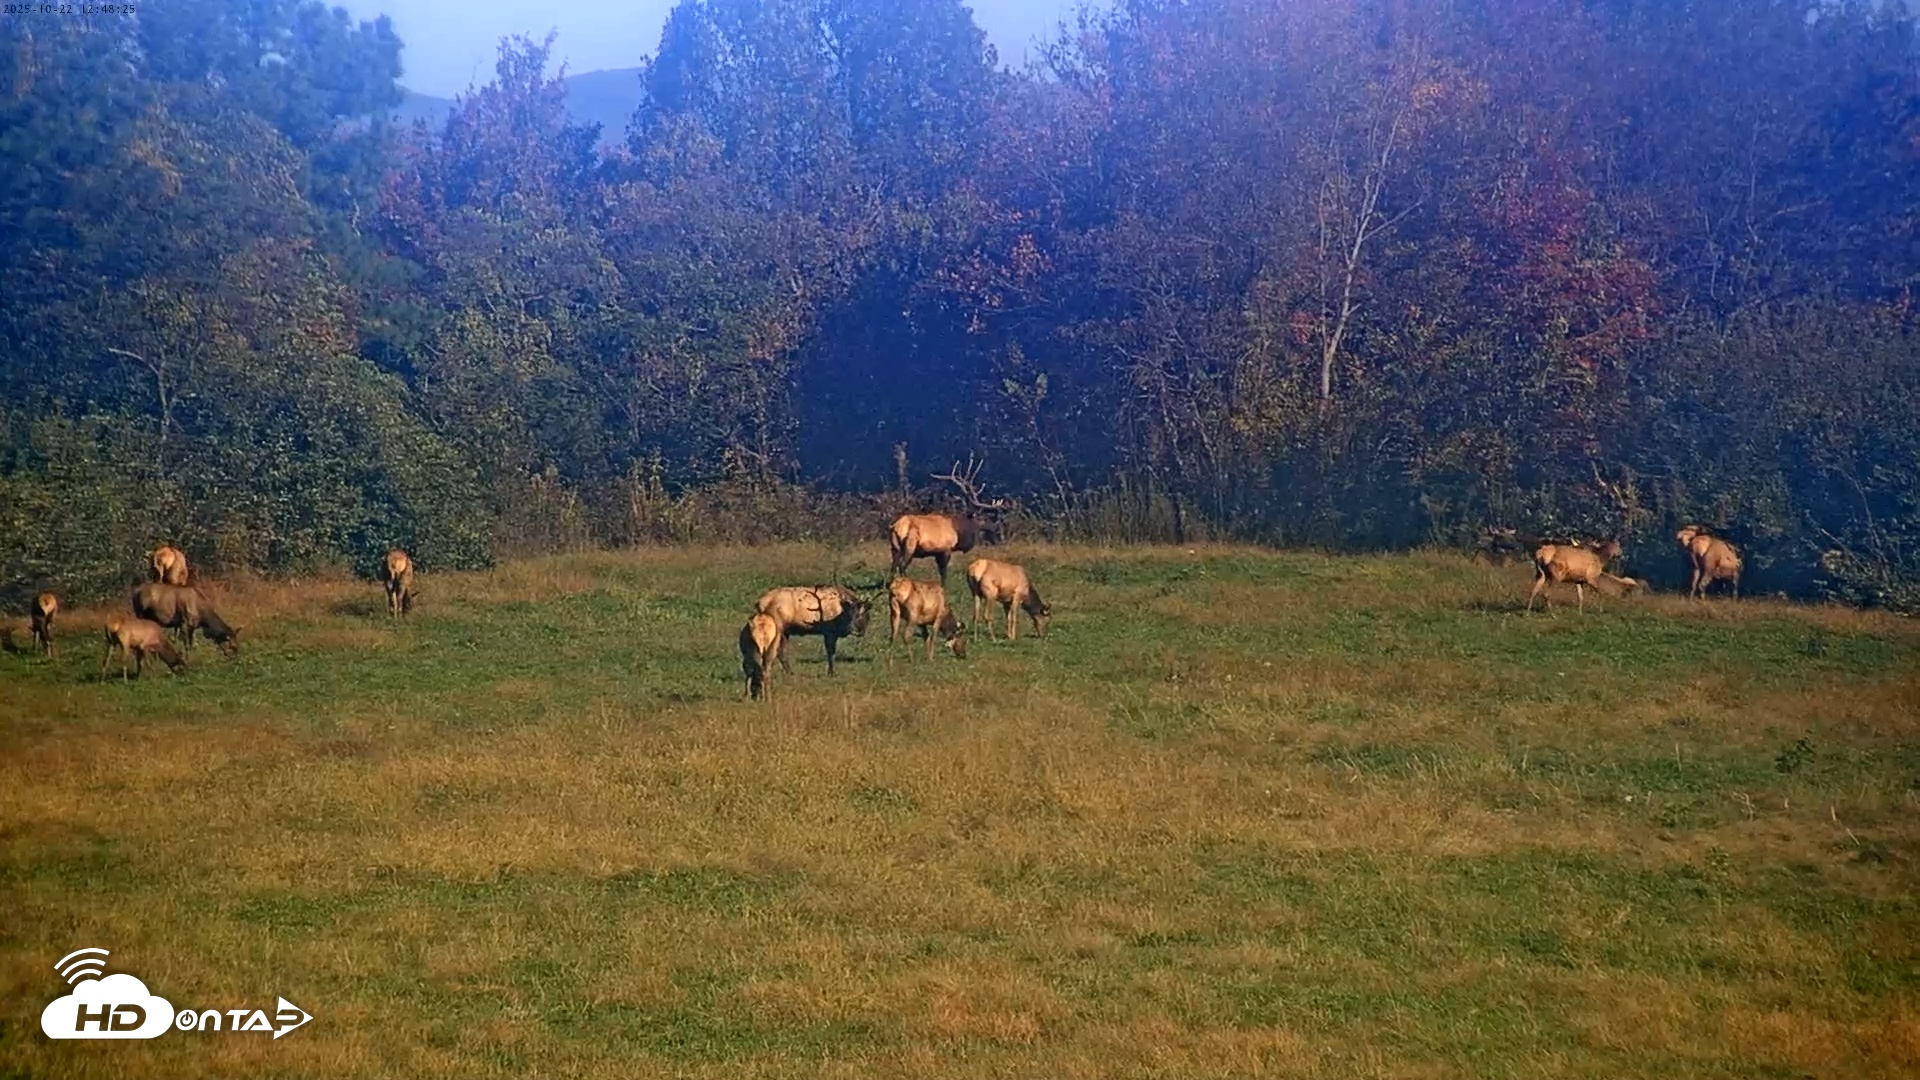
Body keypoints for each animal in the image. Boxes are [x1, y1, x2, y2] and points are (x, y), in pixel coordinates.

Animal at [888, 454, 1010, 586]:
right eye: (983, 517)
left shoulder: (937, 553)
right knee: (902, 565)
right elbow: (943, 572)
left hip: (895, 547)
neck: (959, 531)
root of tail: (895, 527)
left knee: (893, 566)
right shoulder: (946, 549)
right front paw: (944, 586)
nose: (995, 527)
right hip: (910, 544)